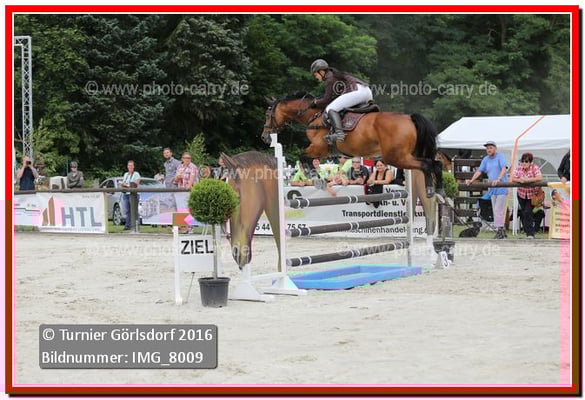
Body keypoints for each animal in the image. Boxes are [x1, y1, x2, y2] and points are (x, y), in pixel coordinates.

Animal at [260, 92, 443, 198]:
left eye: (268, 114)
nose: (264, 137)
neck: (315, 116)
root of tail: (409, 118)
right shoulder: (324, 151)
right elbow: (307, 159)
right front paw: (317, 178)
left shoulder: (319, 147)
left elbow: (303, 157)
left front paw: (316, 179)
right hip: (407, 155)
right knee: (436, 163)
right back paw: (438, 191)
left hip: (397, 157)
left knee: (427, 164)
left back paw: (431, 190)